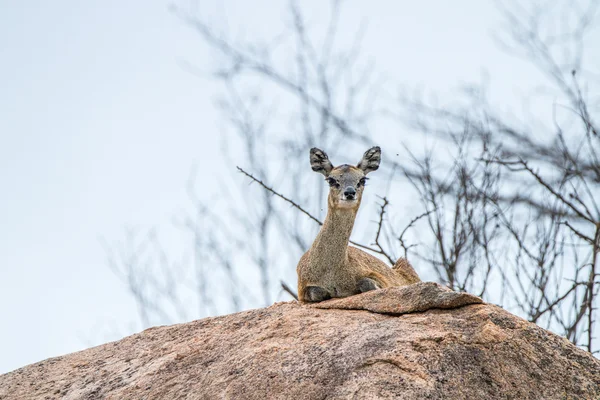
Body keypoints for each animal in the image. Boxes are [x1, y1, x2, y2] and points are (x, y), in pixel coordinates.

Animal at [296, 148, 420, 304]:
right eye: (331, 180)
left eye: (362, 180)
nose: (349, 192)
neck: (331, 272)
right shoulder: (302, 288)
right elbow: (316, 292)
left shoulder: (377, 277)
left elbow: (366, 283)